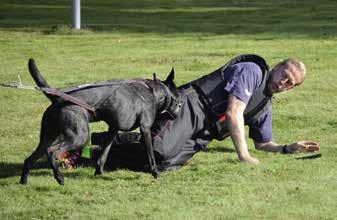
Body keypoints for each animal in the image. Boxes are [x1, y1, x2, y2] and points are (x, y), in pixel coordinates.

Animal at [19, 59, 180, 185]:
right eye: (177, 97)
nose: (181, 106)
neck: (154, 92)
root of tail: (58, 99)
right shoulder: (145, 129)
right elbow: (150, 154)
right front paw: (156, 173)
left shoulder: (113, 130)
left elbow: (104, 153)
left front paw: (99, 173)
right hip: (79, 136)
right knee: (52, 151)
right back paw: (59, 177)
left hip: (49, 136)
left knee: (30, 159)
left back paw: (23, 182)